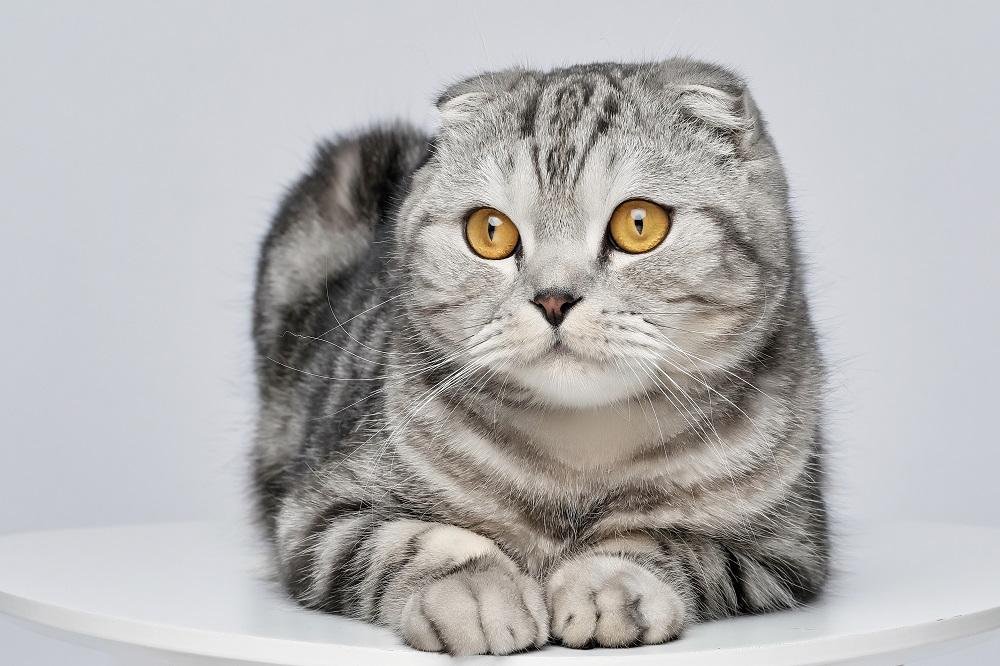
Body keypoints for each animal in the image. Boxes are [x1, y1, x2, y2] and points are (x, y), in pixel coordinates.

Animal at [250, 59, 828, 652]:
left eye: (639, 223)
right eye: (490, 231)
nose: (553, 299)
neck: (580, 453)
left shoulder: (786, 551)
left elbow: (666, 541)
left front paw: (608, 585)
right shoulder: (318, 515)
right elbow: (413, 542)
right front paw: (476, 592)